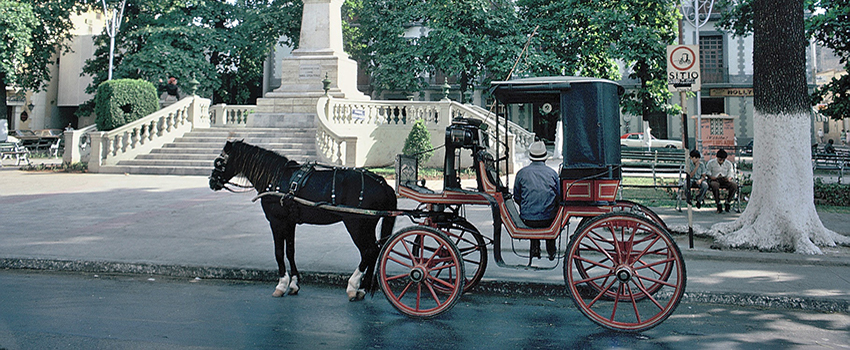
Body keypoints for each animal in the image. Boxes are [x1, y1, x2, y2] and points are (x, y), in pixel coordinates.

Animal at [210, 139, 400, 300]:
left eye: (219, 162)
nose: (212, 182)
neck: (275, 179)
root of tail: (383, 183)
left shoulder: (276, 221)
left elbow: (279, 252)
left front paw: (281, 284)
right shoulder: (290, 222)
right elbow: (290, 251)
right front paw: (294, 284)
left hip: (356, 224)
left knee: (368, 251)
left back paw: (353, 285)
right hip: (366, 224)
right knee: (375, 250)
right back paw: (362, 287)